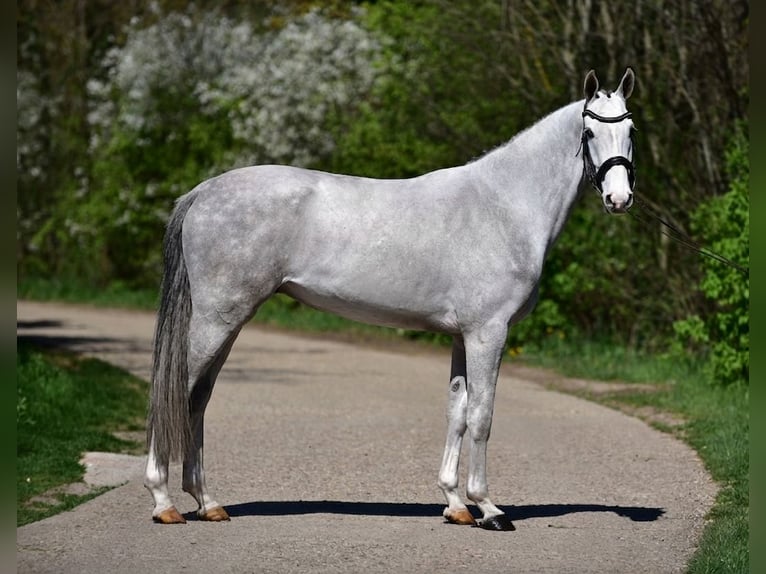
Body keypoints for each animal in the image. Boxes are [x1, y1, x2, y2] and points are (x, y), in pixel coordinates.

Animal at [145, 68, 637, 531]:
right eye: (590, 133)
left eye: (630, 131)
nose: (619, 198)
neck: (502, 207)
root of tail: (203, 192)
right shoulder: (487, 333)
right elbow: (482, 415)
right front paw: (488, 508)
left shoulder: (461, 337)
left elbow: (457, 412)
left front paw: (455, 505)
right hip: (216, 320)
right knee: (173, 393)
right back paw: (164, 502)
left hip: (226, 323)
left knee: (196, 400)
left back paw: (207, 503)